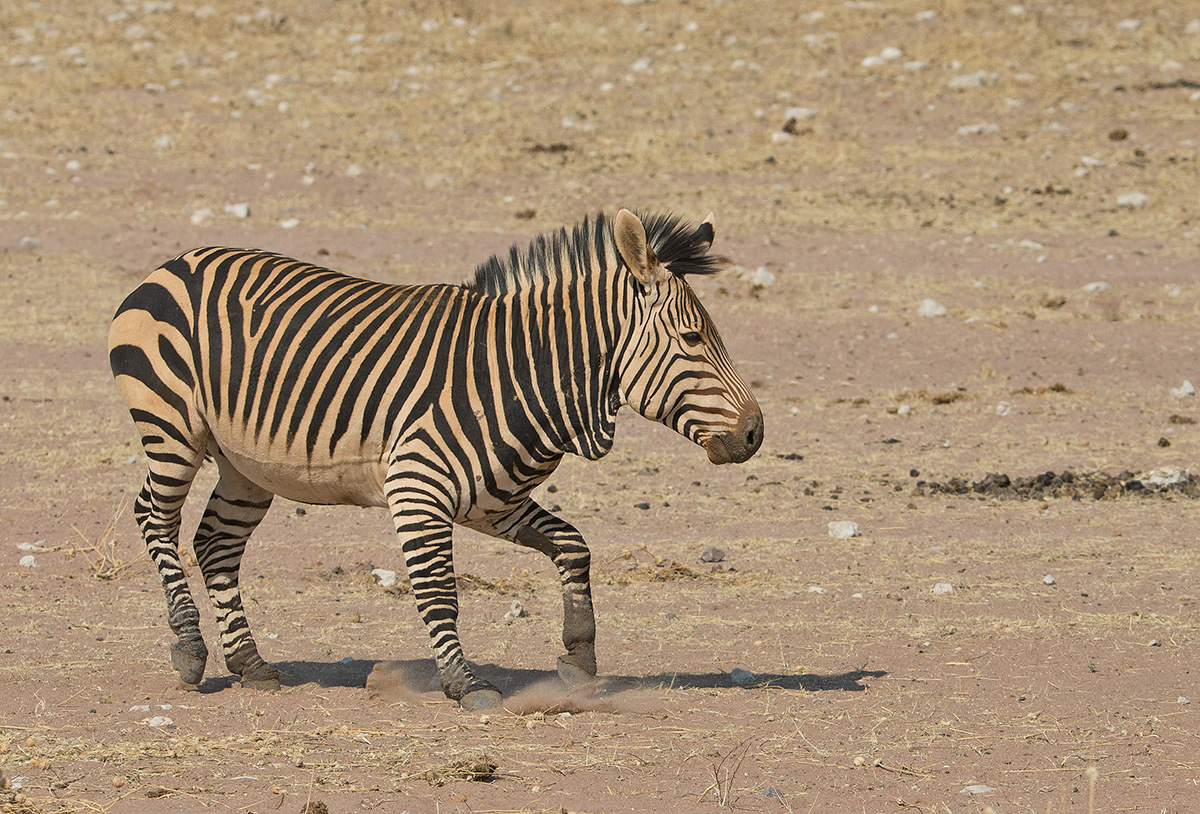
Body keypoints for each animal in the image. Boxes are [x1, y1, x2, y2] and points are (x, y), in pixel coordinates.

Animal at [108, 209, 763, 710]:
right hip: (173, 430)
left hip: (246, 466)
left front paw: (578, 655)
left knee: (216, 542)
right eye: (692, 340)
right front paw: (464, 683)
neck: (524, 372)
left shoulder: (494, 502)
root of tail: (176, 262)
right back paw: (189, 649)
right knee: (154, 518)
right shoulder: (418, 490)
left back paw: (249, 662)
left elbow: (574, 546)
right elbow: (439, 590)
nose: (755, 433)